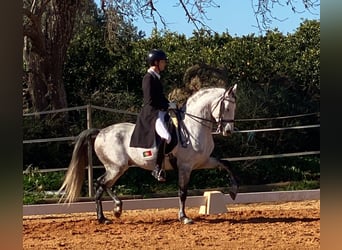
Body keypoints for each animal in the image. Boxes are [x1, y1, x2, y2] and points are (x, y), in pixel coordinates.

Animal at [58, 84, 238, 225]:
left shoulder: (203, 161)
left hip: (118, 168)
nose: (228, 131)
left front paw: (234, 192)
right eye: (227, 108)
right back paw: (105, 216)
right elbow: (182, 192)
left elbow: (227, 164)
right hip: (116, 167)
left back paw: (114, 211)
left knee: (103, 185)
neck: (194, 126)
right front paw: (184, 217)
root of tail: (101, 131)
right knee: (100, 184)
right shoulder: (185, 167)